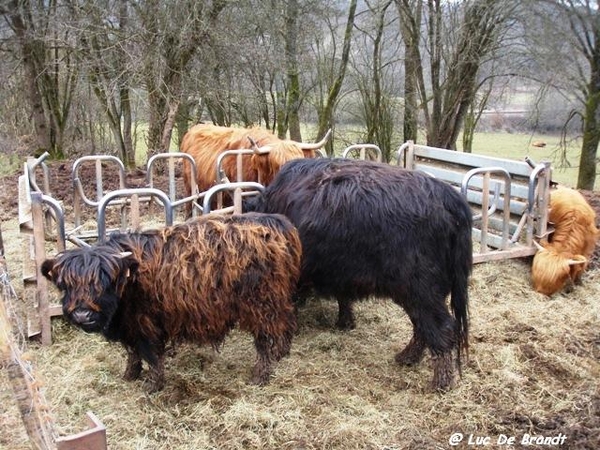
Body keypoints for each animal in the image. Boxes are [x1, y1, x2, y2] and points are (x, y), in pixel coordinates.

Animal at [42, 213, 302, 392]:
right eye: (65, 284)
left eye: (104, 283)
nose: (82, 314)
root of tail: (274, 222)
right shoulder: (130, 325)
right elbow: (132, 353)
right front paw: (130, 375)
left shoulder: (147, 324)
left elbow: (151, 355)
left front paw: (152, 385)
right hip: (278, 300)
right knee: (286, 322)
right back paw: (282, 354)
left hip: (261, 305)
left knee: (264, 339)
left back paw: (260, 376)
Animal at [246, 158, 472, 390]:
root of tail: (448, 196)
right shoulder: (341, 271)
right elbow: (343, 298)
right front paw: (345, 322)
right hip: (423, 294)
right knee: (423, 328)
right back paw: (407, 357)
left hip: (421, 291)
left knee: (441, 329)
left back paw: (440, 382)